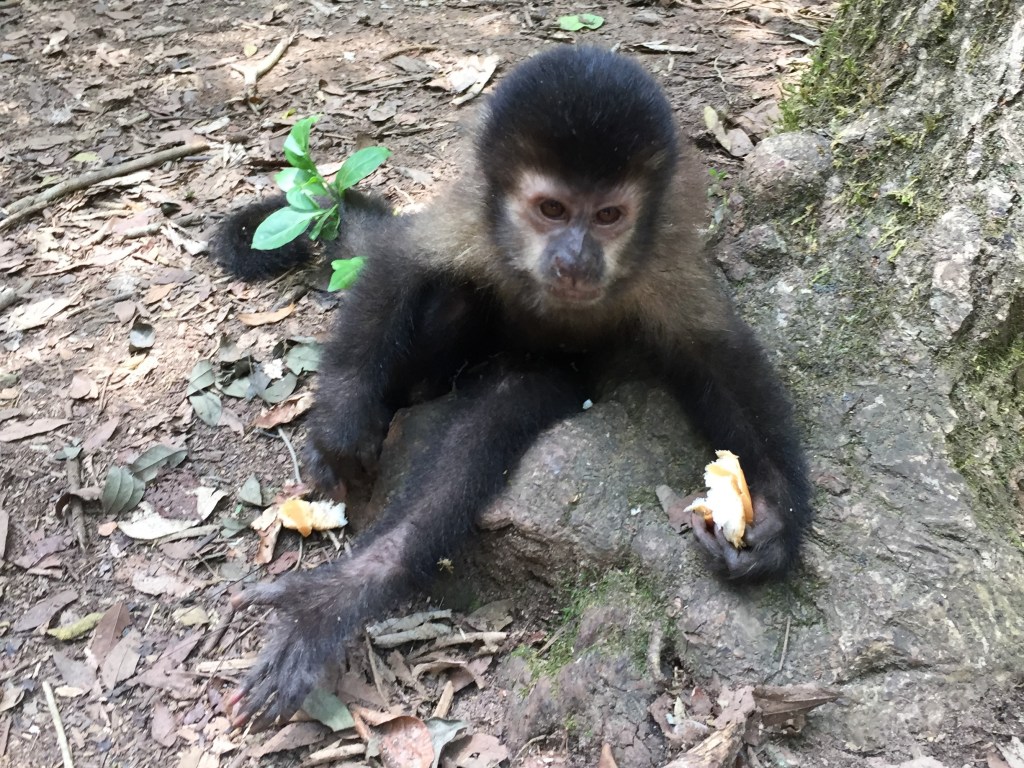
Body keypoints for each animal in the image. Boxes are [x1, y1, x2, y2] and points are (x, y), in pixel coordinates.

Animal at [213, 45, 812, 729]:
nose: (575, 259)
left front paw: (776, 524)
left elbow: (717, 357)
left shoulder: (662, 257)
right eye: (552, 210)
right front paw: (341, 425)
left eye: (608, 216)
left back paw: (349, 588)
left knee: (499, 413)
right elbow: (399, 264)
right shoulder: (476, 217)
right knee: (449, 298)